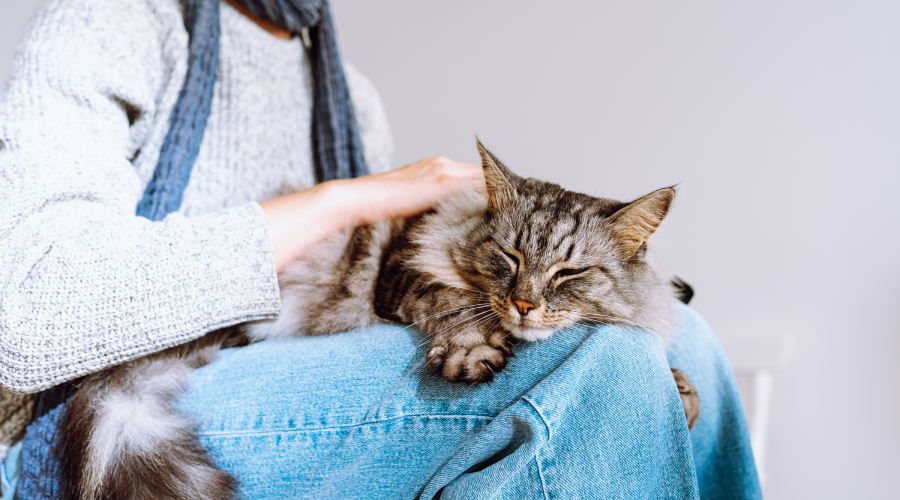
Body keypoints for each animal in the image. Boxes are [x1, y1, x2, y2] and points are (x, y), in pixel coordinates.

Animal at [59, 141, 700, 500]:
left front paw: (683, 388)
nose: (524, 305)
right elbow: (452, 301)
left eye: (570, 272)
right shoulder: (403, 266)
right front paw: (473, 349)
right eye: (510, 258)